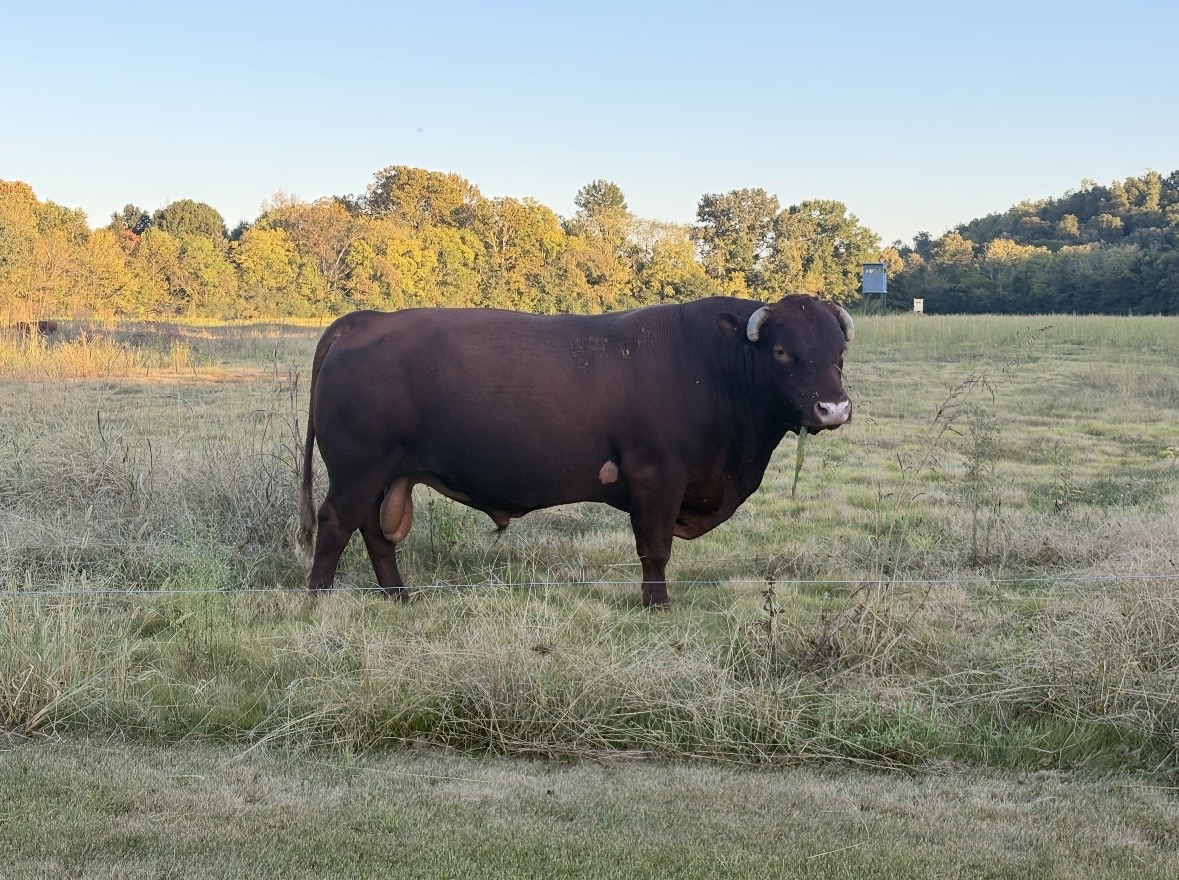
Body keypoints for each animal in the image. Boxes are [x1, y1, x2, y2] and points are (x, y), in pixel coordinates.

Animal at [297, 294, 853, 607]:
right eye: (781, 351)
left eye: (839, 352)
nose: (834, 408)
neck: (709, 365)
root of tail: (368, 320)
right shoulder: (656, 477)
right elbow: (655, 548)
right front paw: (657, 604)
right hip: (357, 470)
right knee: (336, 524)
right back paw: (317, 599)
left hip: (384, 474)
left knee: (375, 533)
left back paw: (399, 597)